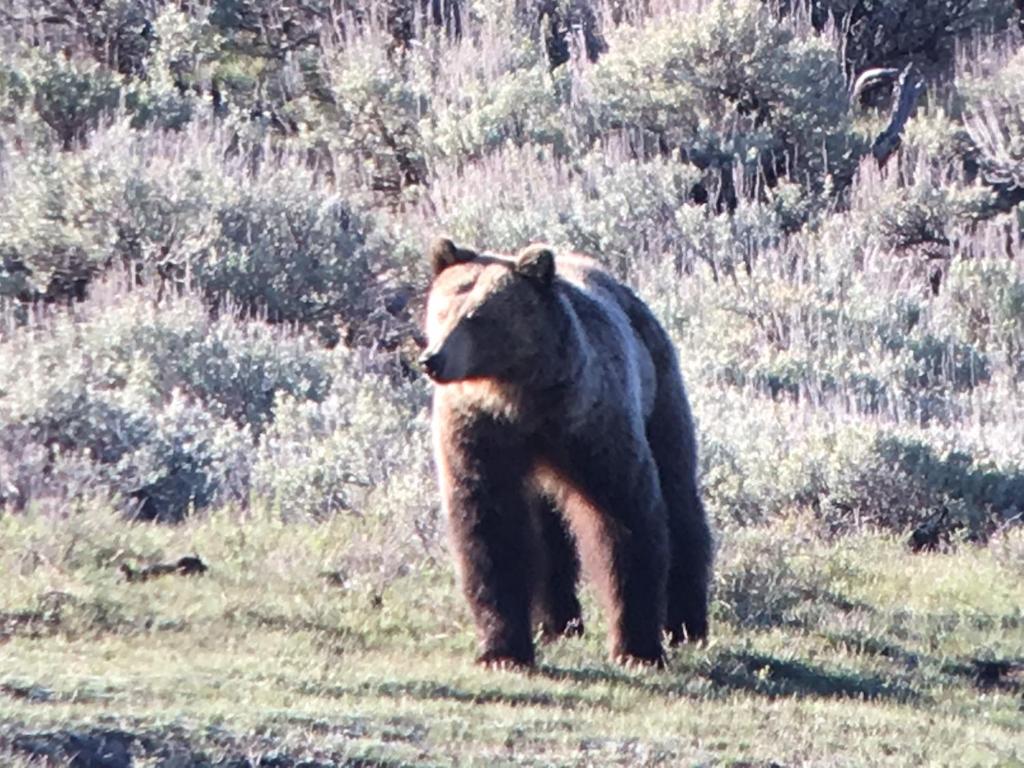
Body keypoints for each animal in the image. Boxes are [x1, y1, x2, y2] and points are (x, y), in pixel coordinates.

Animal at [419, 236, 708, 667]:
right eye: (439, 312)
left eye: (476, 316)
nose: (433, 359)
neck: (520, 398)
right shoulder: (481, 433)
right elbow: (489, 530)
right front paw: (502, 650)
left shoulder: (592, 424)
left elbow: (626, 519)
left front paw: (637, 647)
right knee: (547, 531)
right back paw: (556, 623)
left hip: (660, 388)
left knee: (679, 495)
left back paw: (687, 625)